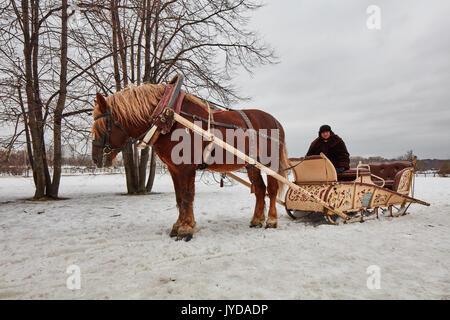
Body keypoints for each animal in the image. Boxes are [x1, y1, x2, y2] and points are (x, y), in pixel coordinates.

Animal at [91, 82, 288, 240]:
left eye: (102, 125)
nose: (96, 158)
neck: (170, 118)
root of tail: (275, 121)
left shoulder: (186, 168)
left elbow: (187, 196)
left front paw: (186, 229)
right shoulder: (174, 168)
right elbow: (179, 197)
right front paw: (179, 225)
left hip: (270, 163)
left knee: (271, 190)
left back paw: (271, 220)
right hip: (252, 165)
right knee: (260, 190)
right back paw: (256, 219)